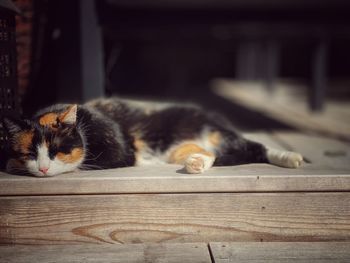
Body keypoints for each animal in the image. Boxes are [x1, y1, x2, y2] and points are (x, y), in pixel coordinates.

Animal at [2, 98, 302, 177]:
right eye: (30, 153)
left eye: (56, 150)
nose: (42, 169)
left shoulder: (120, 150)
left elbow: (85, 163)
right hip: (181, 150)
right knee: (210, 155)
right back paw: (196, 163)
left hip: (217, 133)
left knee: (255, 147)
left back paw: (291, 157)